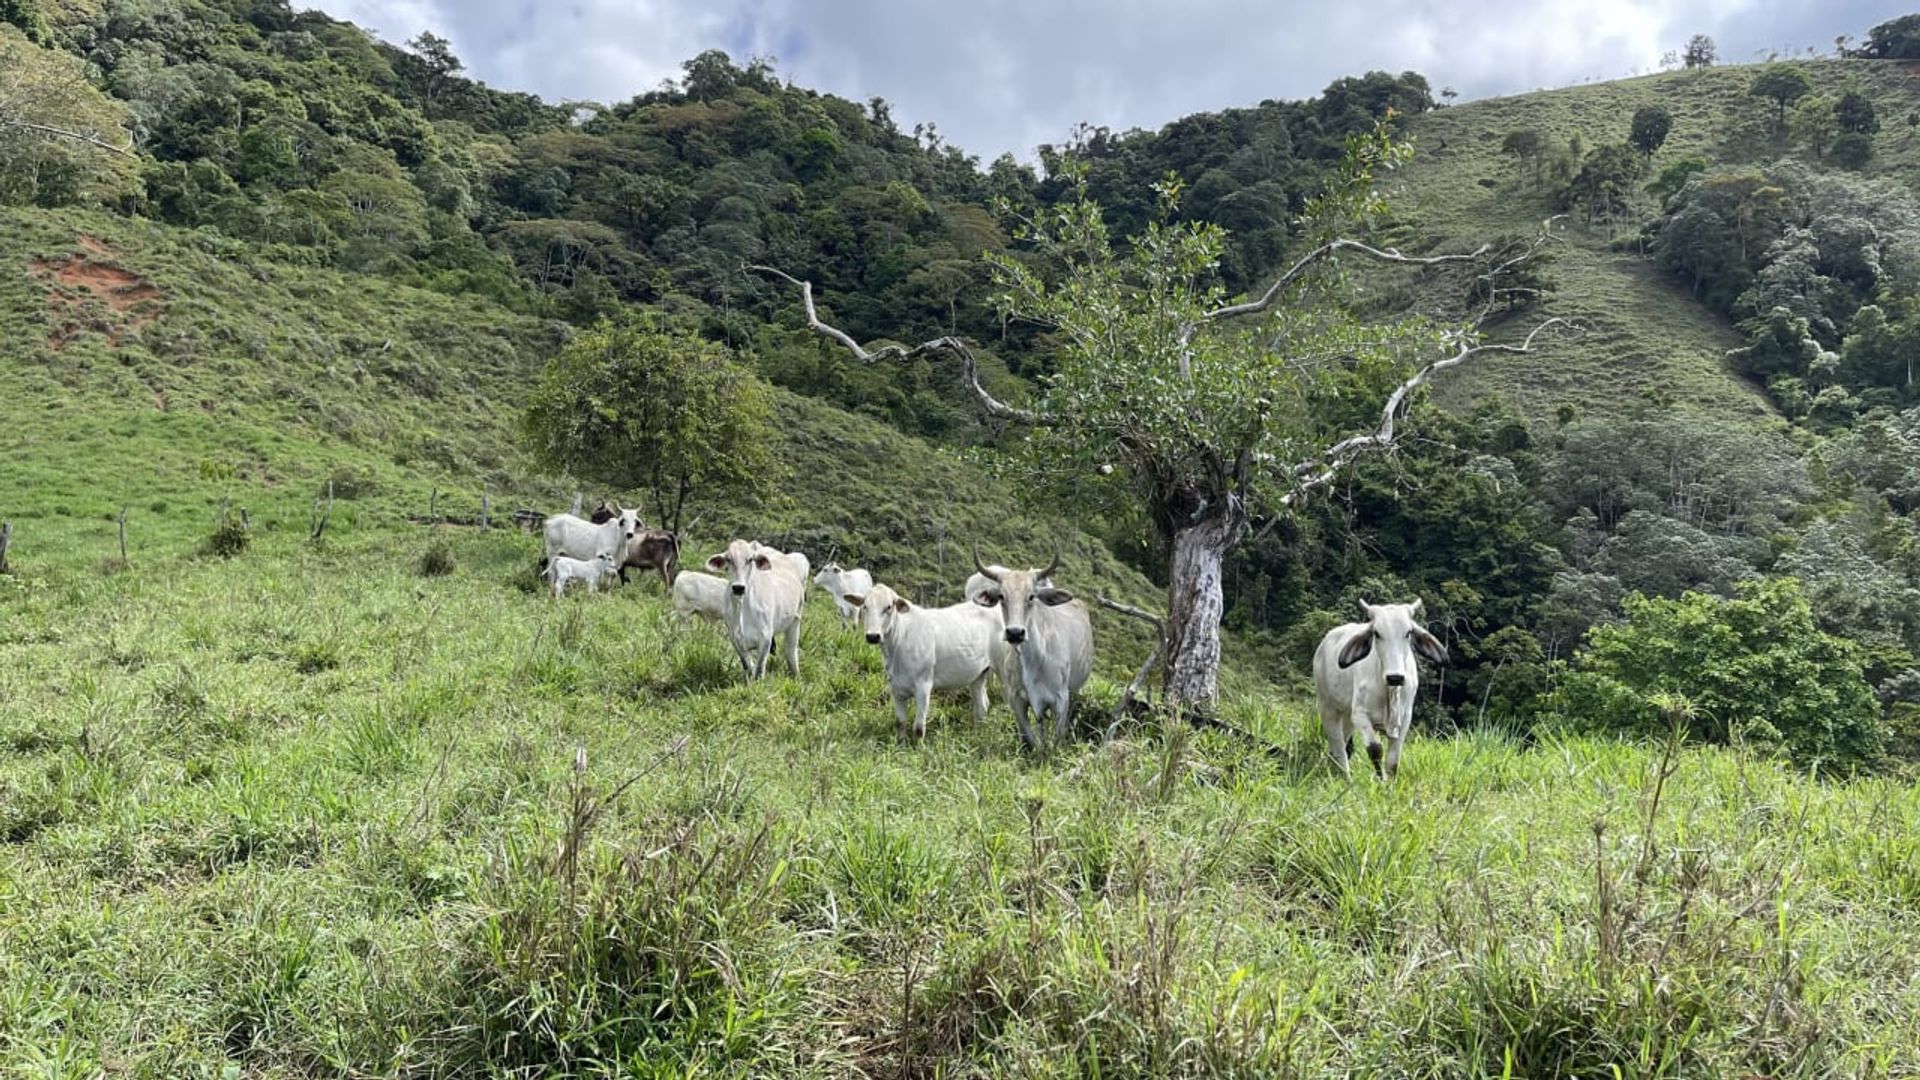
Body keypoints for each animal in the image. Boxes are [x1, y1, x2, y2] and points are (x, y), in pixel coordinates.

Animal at [706, 538, 802, 680]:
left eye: (750, 559)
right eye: (729, 559)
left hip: (796, 619)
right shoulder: (735, 639)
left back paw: (796, 675)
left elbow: (759, 670)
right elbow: (748, 666)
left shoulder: (765, 639)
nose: (738, 588)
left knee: (790, 650)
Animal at [967, 545, 1090, 749]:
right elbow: (1029, 739)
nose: (1015, 633)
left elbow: (1056, 740)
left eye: (1031, 596)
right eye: (1001, 596)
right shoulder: (1017, 700)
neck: (1034, 660)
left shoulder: (1060, 700)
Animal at [1313, 595, 1443, 772]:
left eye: (1408, 633)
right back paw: (1345, 776)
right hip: (1327, 706)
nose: (1395, 677)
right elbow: (1375, 750)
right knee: (1339, 748)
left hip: (1347, 715)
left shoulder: (1405, 718)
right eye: (1376, 633)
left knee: (1342, 745)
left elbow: (1393, 761)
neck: (1389, 690)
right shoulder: (1360, 714)